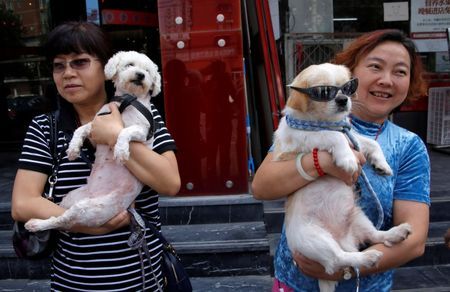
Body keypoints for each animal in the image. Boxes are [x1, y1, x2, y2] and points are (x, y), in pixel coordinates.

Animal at [25, 50, 162, 233]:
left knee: (61, 220)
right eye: (130, 65)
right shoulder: (98, 124)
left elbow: (123, 131)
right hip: (72, 198)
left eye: (147, 71)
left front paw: (121, 151)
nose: (140, 75)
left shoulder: (143, 131)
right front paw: (73, 148)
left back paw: (36, 224)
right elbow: (81, 128)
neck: (127, 101)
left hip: (90, 208)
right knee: (60, 217)